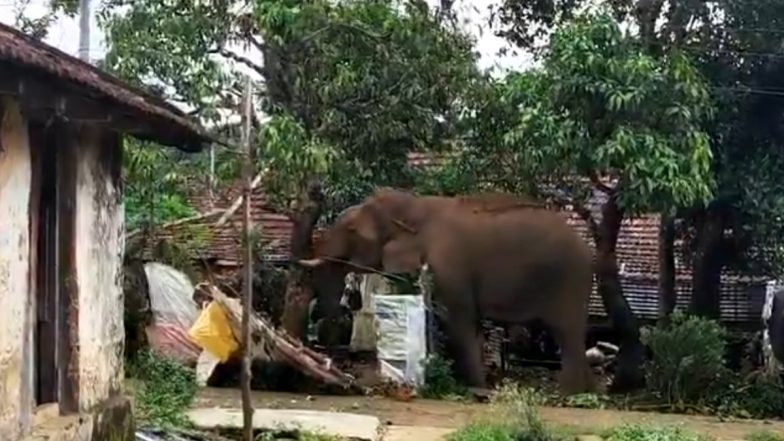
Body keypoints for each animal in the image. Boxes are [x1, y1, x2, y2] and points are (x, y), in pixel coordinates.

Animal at [300, 187, 596, 394]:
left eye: (351, 230)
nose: (332, 359)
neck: (417, 203)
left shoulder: (450, 265)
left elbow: (460, 321)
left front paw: (476, 388)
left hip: (569, 280)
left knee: (567, 332)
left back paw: (568, 394)